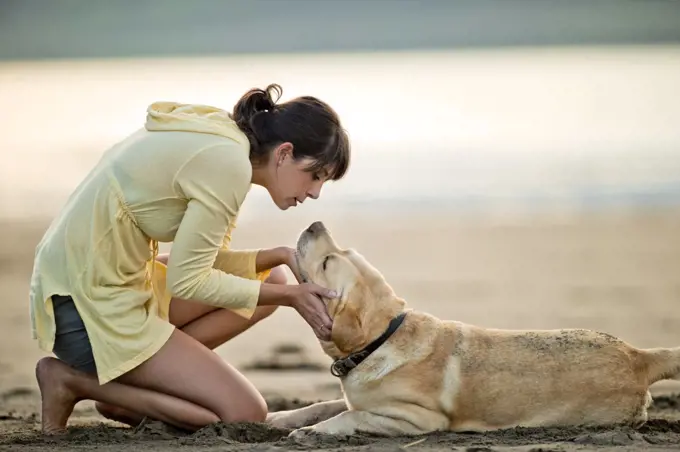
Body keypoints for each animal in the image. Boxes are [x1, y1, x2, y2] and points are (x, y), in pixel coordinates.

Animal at [266, 221, 680, 436]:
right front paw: (281, 418)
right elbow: (324, 404)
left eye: (328, 262)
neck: (382, 338)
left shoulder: (418, 418)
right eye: (340, 254)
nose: (314, 224)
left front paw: (312, 432)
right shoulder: (360, 398)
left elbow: (351, 416)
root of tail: (638, 355)